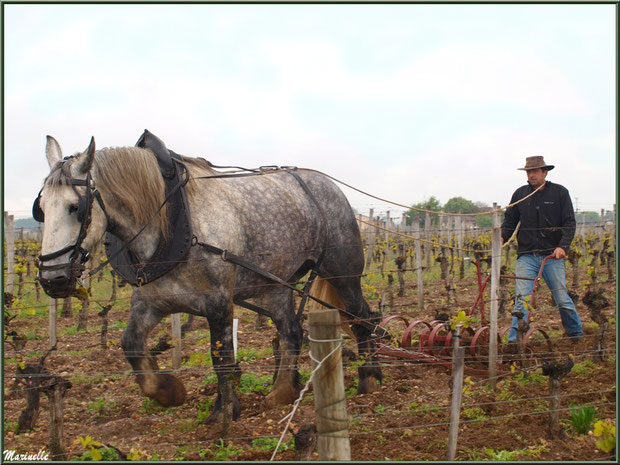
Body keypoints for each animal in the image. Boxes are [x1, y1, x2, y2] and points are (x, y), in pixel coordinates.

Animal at [35, 131, 382, 424]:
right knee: (291, 332)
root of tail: (329, 186)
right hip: (273, 286)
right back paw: (281, 392)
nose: (53, 278)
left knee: (364, 318)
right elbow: (130, 344)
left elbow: (222, 357)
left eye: (75, 207)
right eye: (41, 209)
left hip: (342, 271)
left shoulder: (219, 302)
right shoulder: (150, 301)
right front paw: (168, 392)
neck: (170, 222)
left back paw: (370, 379)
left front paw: (224, 413)